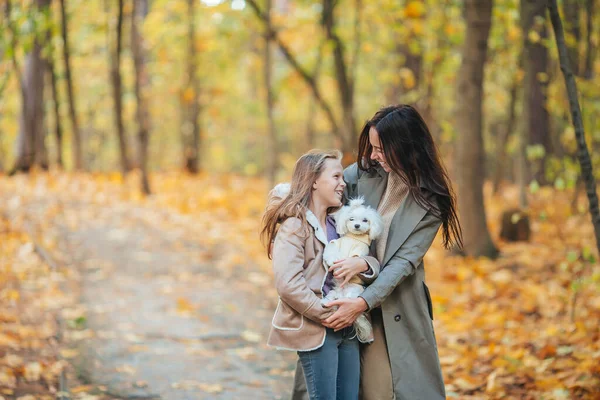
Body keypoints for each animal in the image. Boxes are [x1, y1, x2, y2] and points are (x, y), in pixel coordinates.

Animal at [324, 197, 384, 340]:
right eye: (351, 219)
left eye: (365, 220)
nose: (357, 226)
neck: (354, 238)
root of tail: (341, 293)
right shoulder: (336, 243)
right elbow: (331, 249)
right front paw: (332, 260)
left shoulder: (359, 253)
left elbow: (352, 260)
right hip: (334, 292)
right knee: (332, 296)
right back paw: (326, 301)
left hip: (353, 293)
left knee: (347, 301)